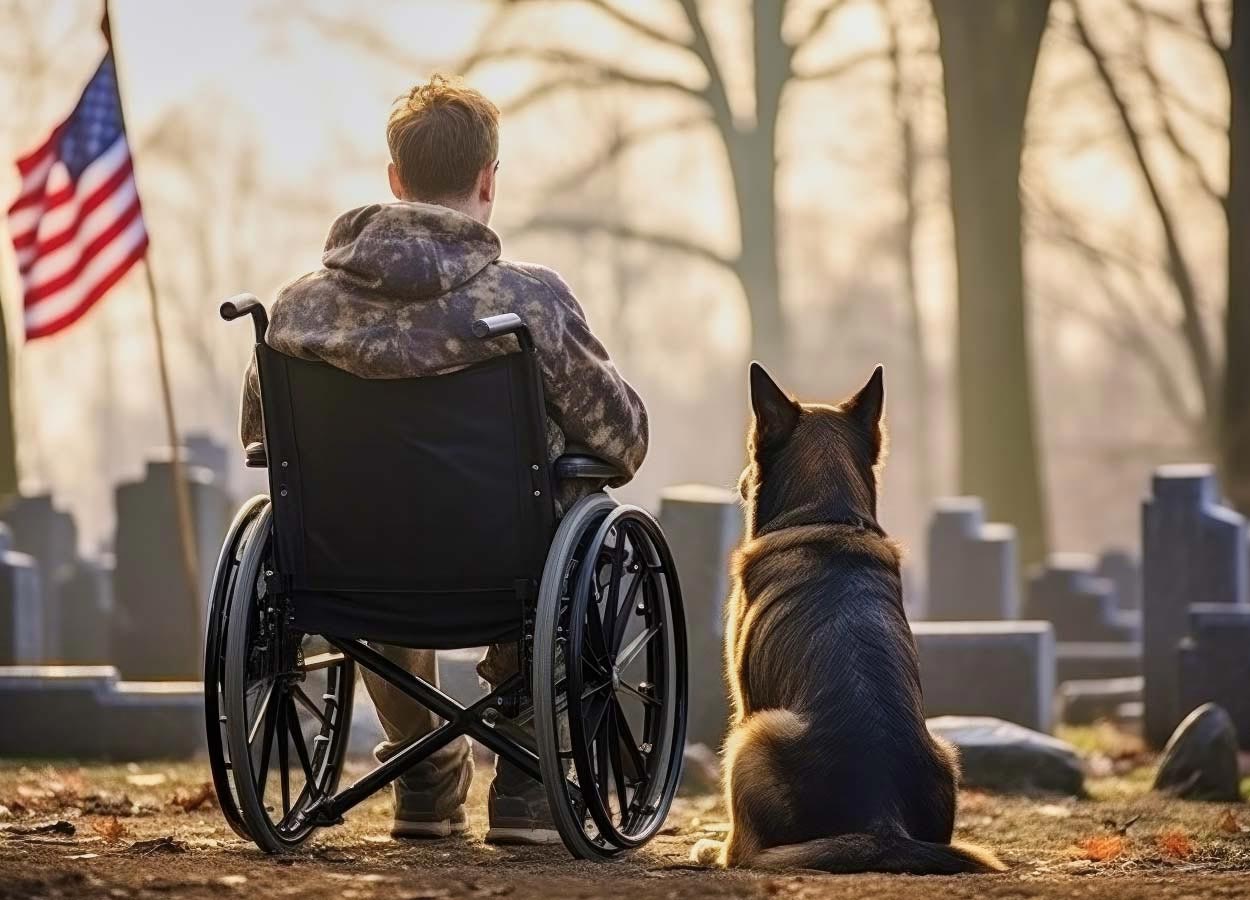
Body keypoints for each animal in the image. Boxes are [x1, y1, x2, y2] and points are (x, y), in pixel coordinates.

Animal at [695, 365, 1005, 870]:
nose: (740, 478)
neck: (828, 516)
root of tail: (880, 816)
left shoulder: (743, 703)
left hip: (752, 736)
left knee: (743, 850)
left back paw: (712, 849)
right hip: (946, 750)